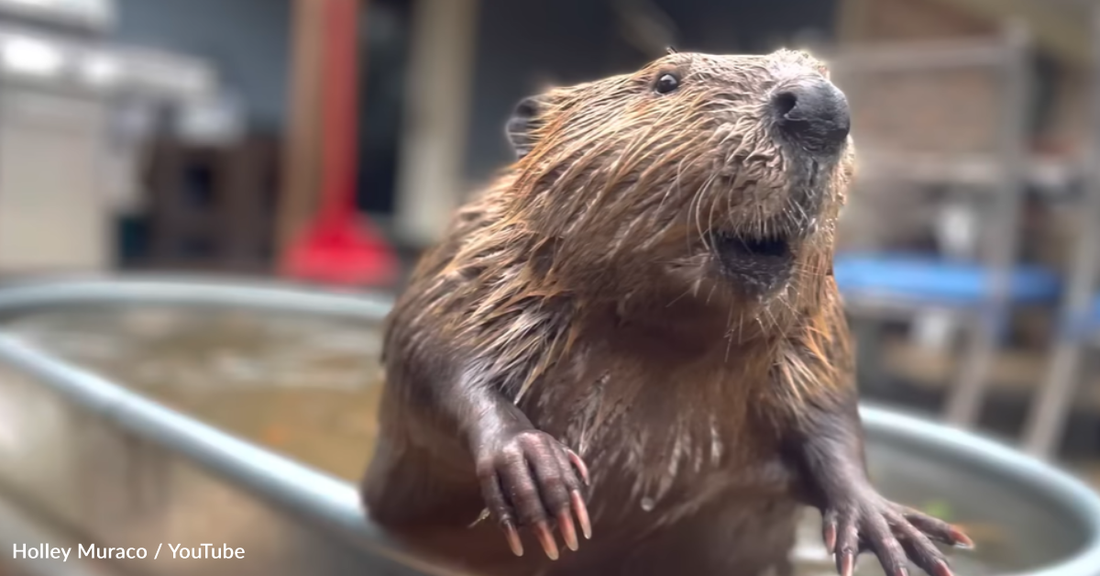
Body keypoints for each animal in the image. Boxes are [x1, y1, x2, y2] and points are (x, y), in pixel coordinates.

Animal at [360, 48, 972, 576]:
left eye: (818, 69)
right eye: (666, 81)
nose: (821, 107)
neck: (664, 345)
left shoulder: (815, 331)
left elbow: (831, 411)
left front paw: (889, 525)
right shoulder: (479, 261)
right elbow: (429, 350)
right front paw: (538, 471)